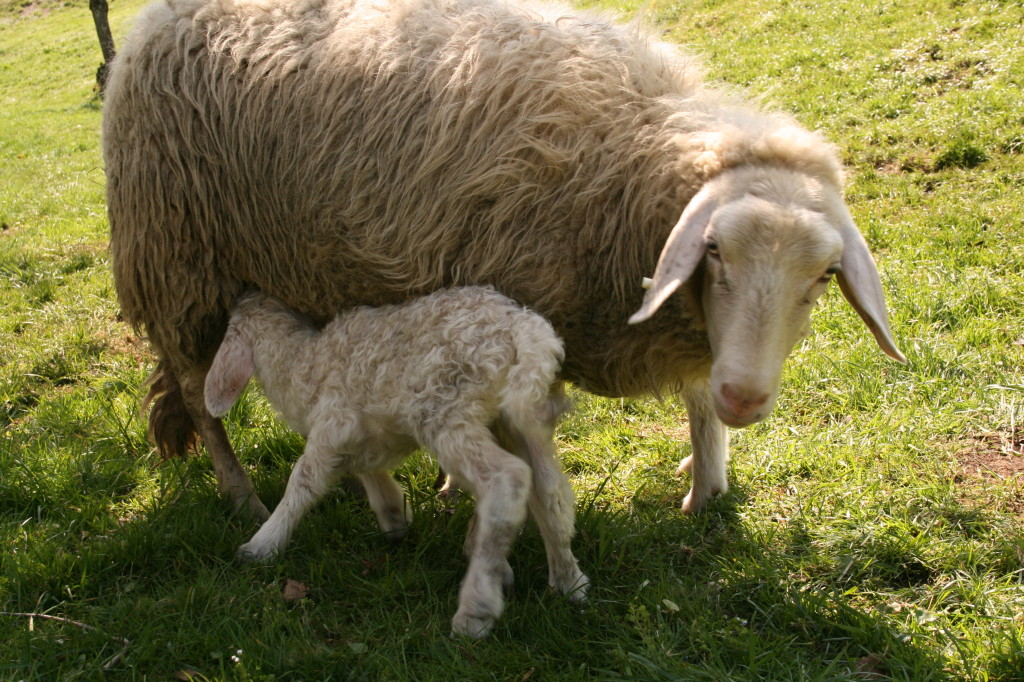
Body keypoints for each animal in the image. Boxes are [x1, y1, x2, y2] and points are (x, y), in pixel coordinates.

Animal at [103, 0, 905, 520]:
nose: (747, 397)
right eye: (714, 252)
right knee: (199, 398)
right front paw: (461, 489)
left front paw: (705, 482)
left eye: (822, 277)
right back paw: (239, 494)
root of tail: (150, 23)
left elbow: (697, 399)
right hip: (177, 266)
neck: (633, 151)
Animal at [203, 286, 589, 638]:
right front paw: (395, 518)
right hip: (516, 418)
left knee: (507, 479)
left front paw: (262, 545)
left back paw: (476, 610)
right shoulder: (360, 432)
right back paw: (569, 582)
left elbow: (303, 483)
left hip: (447, 406)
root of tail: (524, 328)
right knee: (549, 492)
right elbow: (367, 469)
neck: (300, 361)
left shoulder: (332, 424)